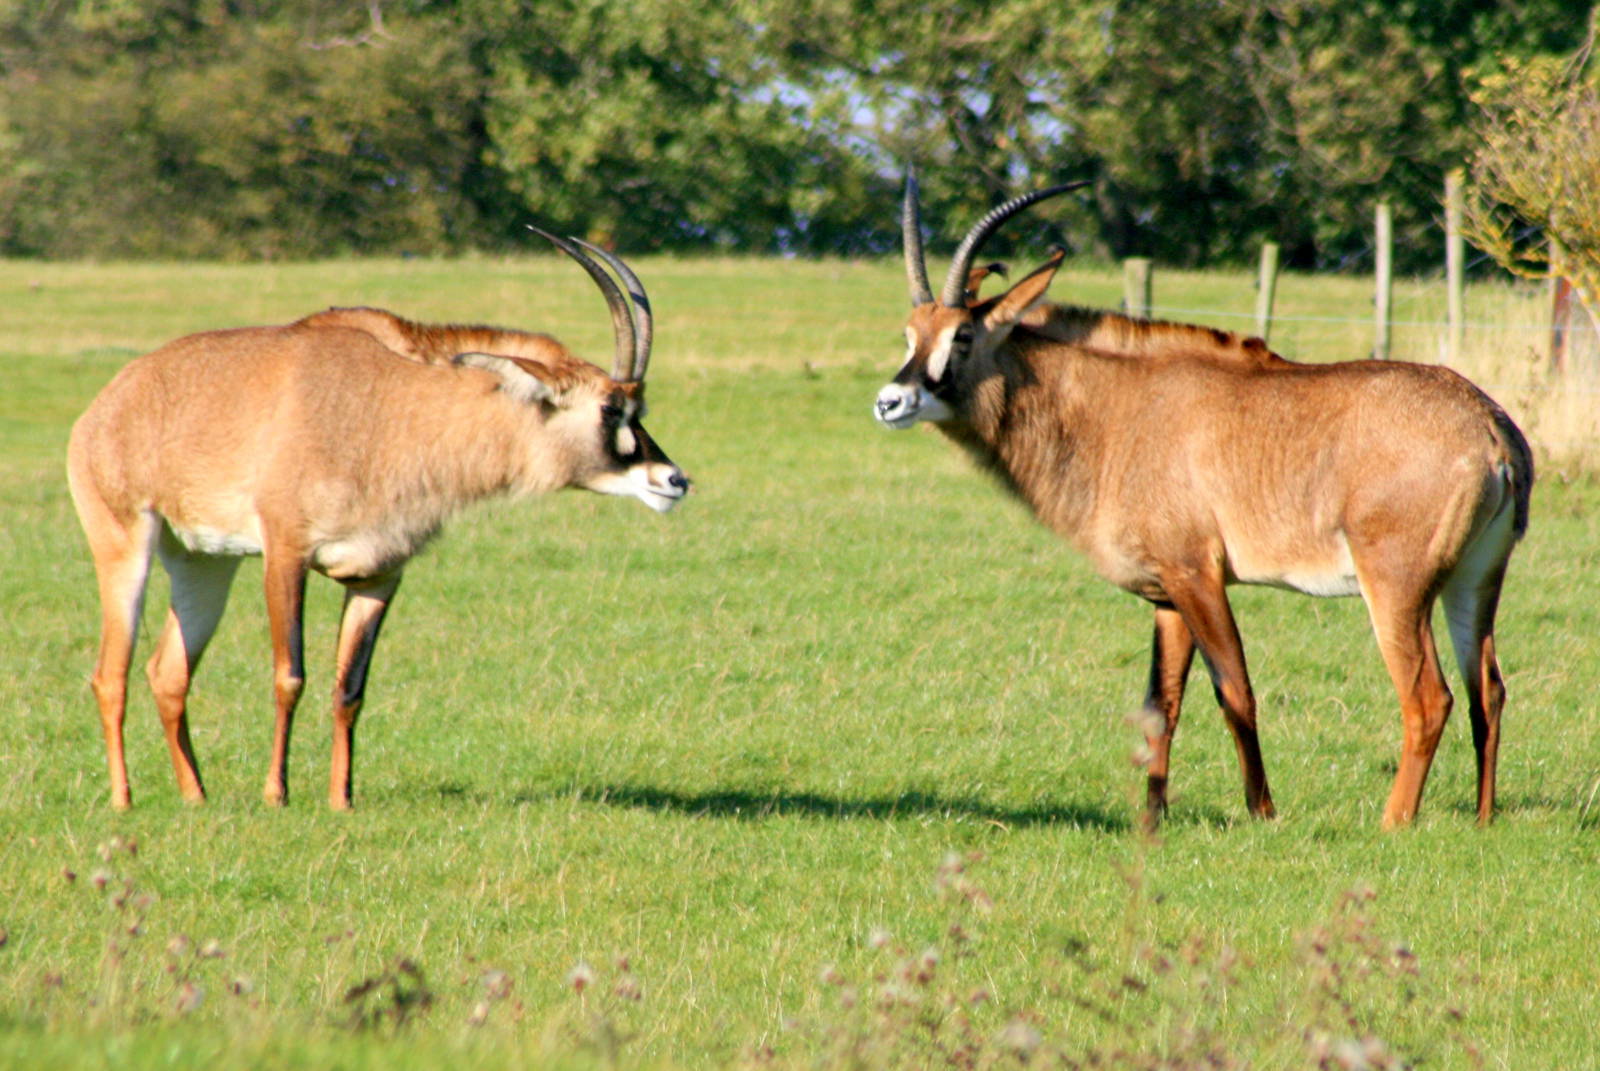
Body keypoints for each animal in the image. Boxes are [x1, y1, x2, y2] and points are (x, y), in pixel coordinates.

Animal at [67, 232, 688, 811]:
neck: (392, 408)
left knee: (167, 672)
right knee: (110, 673)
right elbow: (289, 676)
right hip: (125, 545)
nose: (674, 480)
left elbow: (350, 689)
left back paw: (196, 796)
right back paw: (123, 798)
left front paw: (341, 799)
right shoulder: (286, 555)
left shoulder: (378, 575)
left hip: (205, 564)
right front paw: (277, 794)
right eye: (610, 409)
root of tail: (105, 406)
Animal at [877, 176, 1533, 829]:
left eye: (962, 335)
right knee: (1488, 689)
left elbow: (1235, 691)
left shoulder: (1198, 574)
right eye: (911, 333)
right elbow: (1160, 705)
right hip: (1474, 581)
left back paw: (1393, 822)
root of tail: (1491, 428)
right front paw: (1151, 821)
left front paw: (1262, 812)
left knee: (1428, 696)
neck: (1116, 411)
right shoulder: (1168, 593)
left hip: (1396, 587)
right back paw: (1482, 819)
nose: (889, 402)